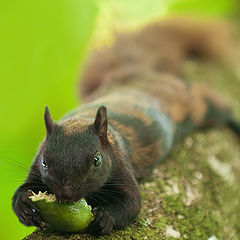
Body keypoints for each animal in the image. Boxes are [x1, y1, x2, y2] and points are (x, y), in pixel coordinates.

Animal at [12, 17, 240, 235]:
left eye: (97, 160)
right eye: (44, 161)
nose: (66, 194)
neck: (82, 119)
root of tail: (134, 75)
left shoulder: (121, 165)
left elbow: (131, 203)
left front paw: (106, 218)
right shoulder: (35, 167)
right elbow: (22, 190)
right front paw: (23, 204)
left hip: (196, 105)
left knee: (213, 104)